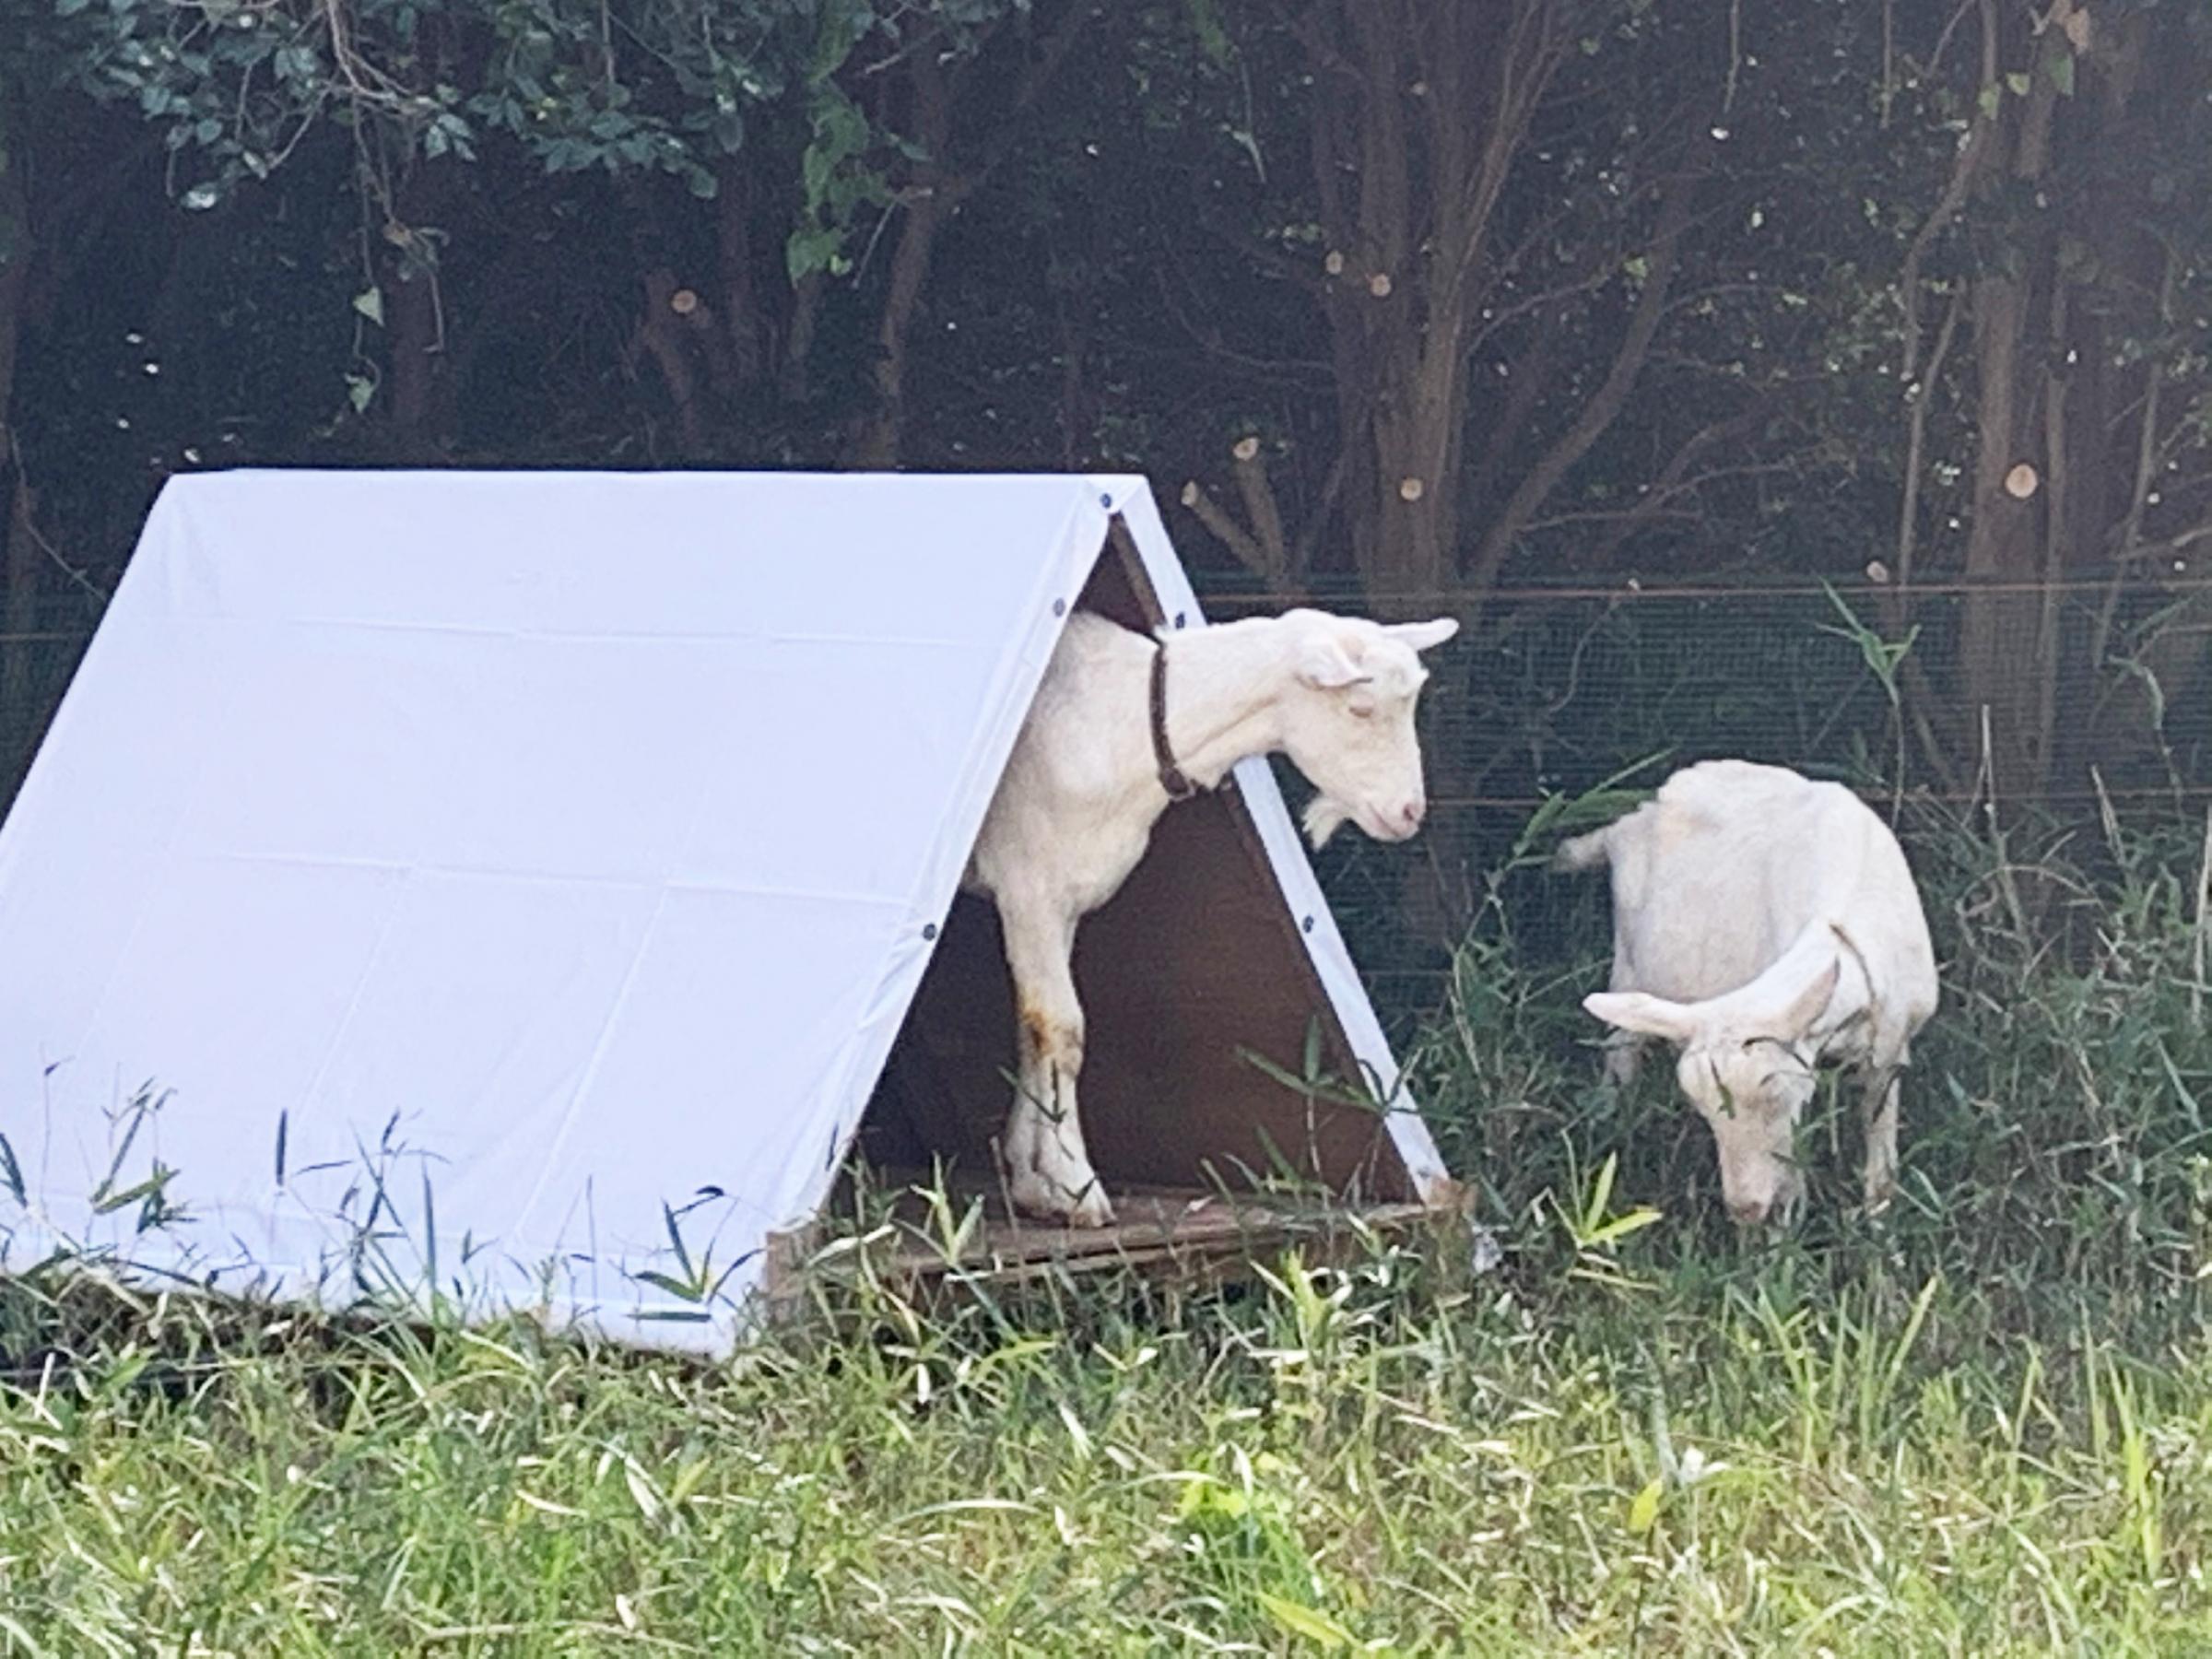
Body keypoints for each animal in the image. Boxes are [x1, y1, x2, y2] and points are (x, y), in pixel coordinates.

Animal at [964, 606, 1451, 1230]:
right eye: (1360, 707)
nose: (1409, 813)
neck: (1128, 721)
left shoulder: (1062, 900)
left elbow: (1030, 1028)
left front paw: (1032, 1183)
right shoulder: (1031, 889)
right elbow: (1061, 1029)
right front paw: (1076, 1187)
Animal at [1557, 760, 1937, 1230]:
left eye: (1774, 1095)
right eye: (1702, 1108)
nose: (1745, 1209)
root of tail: (1635, 816)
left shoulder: (1889, 1050)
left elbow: (1879, 1157)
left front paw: (1879, 1231)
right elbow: (1790, 1183)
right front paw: (1783, 1243)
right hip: (1627, 966)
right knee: (1620, 1055)